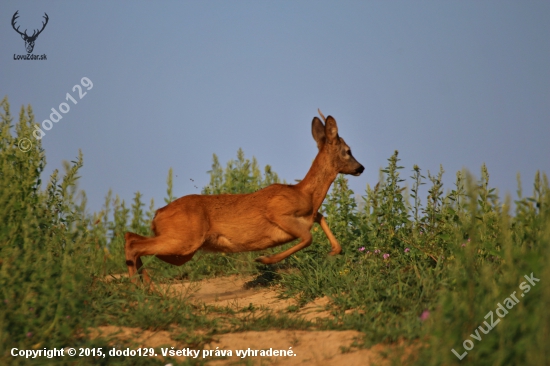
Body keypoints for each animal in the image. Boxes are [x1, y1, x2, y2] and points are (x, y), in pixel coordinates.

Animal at [125, 110, 366, 288]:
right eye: (348, 150)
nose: (361, 168)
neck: (306, 193)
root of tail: (157, 214)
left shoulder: (309, 214)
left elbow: (321, 220)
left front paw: (333, 251)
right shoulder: (277, 211)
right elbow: (308, 237)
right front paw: (264, 260)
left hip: (181, 249)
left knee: (132, 238)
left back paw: (148, 288)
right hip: (184, 241)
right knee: (133, 244)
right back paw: (140, 288)